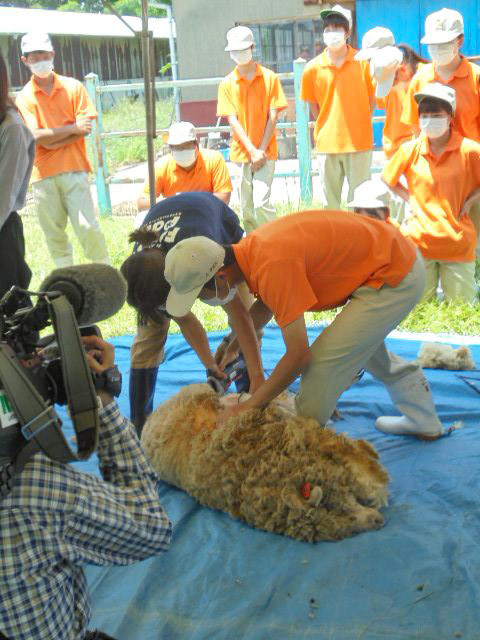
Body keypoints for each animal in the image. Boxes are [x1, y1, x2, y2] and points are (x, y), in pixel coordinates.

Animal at [142, 382, 390, 544]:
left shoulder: (297, 431)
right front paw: (376, 489)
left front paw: (373, 484)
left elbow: (346, 450)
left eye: (335, 504)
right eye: (341, 518)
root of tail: (149, 419)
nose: (378, 521)